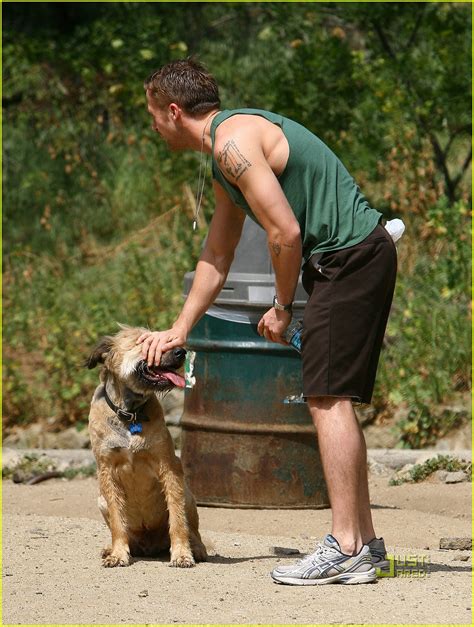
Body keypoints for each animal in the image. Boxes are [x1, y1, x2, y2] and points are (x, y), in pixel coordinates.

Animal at [85, 328, 207, 568]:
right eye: (144, 342)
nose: (181, 352)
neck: (130, 414)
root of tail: (149, 546)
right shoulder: (106, 471)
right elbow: (117, 522)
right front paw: (118, 553)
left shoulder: (169, 467)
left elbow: (177, 519)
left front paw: (182, 553)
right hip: (100, 500)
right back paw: (112, 548)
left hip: (188, 495)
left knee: (193, 530)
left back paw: (197, 548)